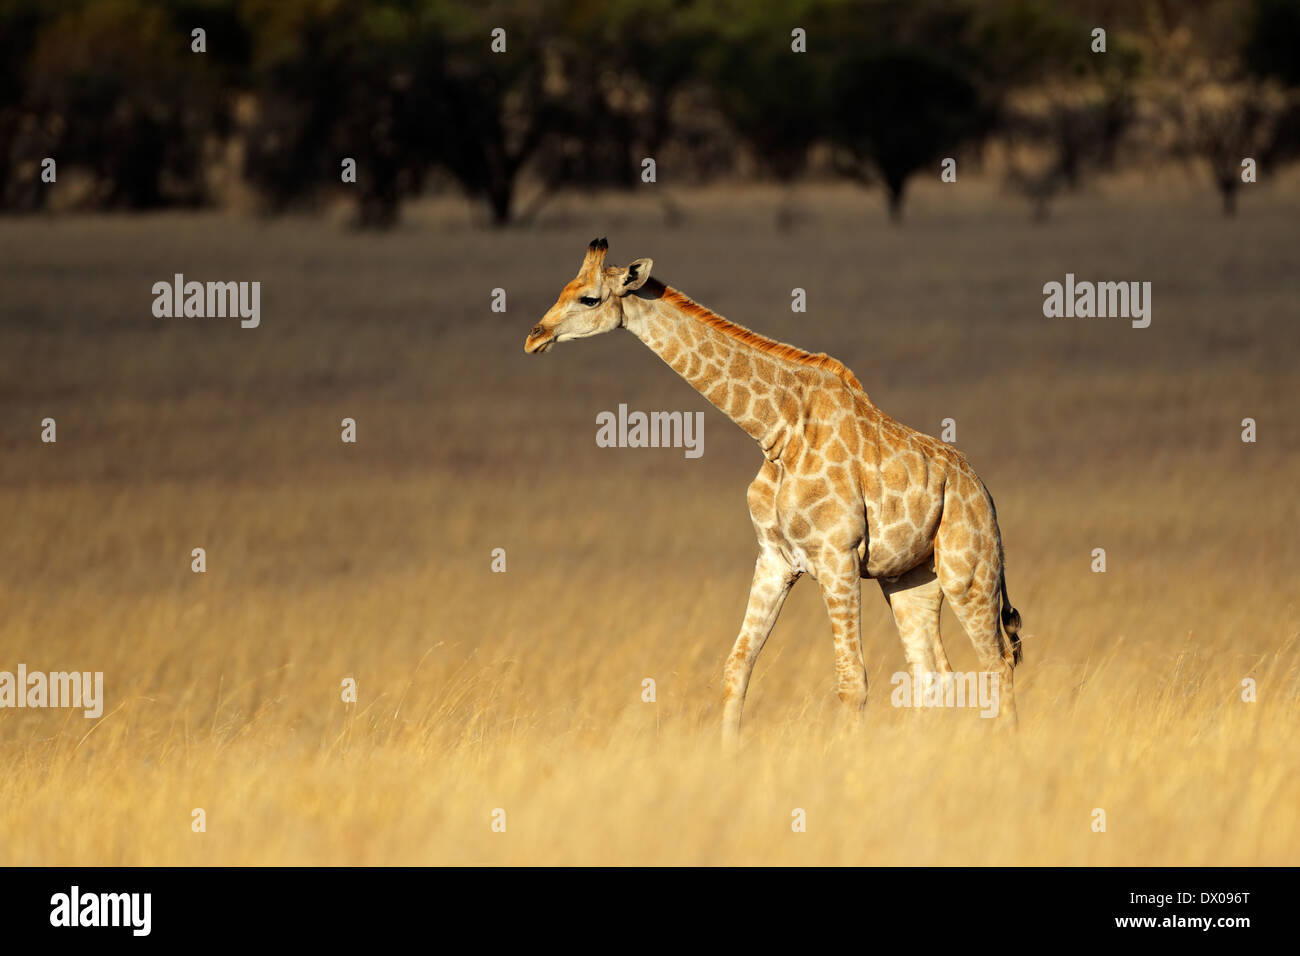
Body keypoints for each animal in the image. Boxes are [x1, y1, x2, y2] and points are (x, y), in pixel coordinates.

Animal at [522, 240, 1019, 749]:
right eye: (564, 288)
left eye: (589, 299)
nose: (534, 338)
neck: (776, 431)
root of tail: (984, 491)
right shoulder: (774, 557)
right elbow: (737, 667)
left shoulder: (838, 557)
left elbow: (852, 681)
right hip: (909, 579)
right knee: (932, 672)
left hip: (968, 573)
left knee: (997, 665)